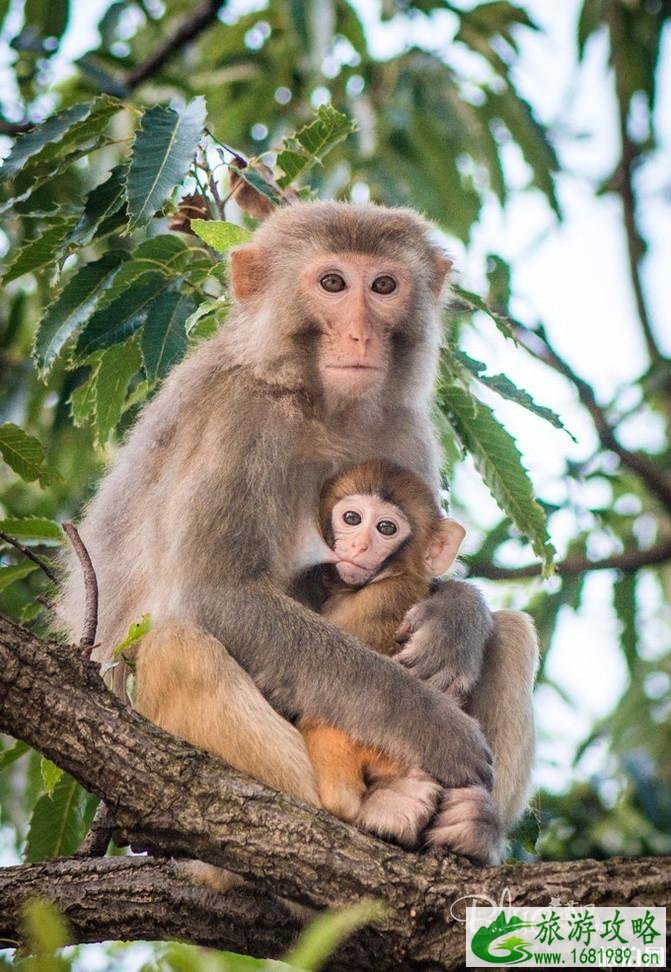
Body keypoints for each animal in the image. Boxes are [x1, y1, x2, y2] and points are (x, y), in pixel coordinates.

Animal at [59, 199, 540, 860]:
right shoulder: (240, 417)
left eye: (383, 285)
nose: (360, 334)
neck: (318, 401)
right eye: (333, 283)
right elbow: (220, 594)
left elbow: (428, 569)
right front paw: (428, 723)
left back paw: (476, 827)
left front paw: (457, 619)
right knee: (177, 647)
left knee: (514, 632)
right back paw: (352, 813)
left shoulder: (406, 429)